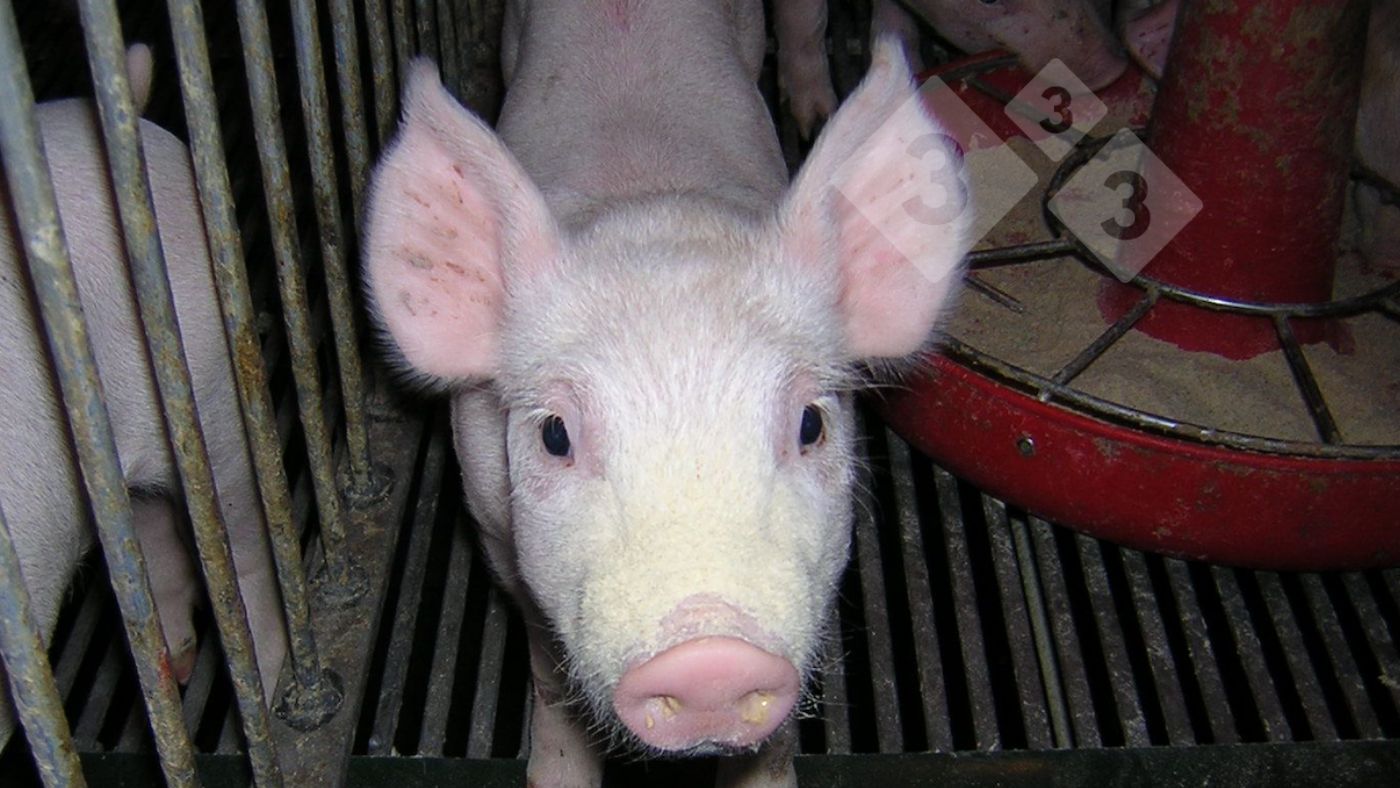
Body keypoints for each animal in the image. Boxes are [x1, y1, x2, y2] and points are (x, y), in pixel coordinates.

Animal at [363, 1, 970, 785]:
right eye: (555, 435)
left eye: (811, 424)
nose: (710, 659)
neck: (649, 196)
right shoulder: (495, 526)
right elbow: (551, 676)